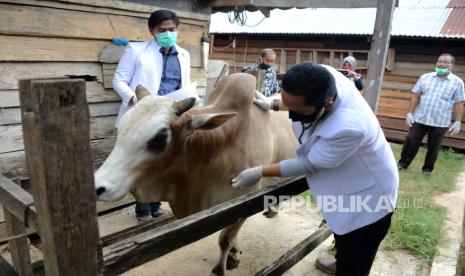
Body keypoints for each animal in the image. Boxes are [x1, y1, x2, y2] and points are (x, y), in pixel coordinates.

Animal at [95, 72, 298, 274]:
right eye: (122, 127)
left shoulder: (247, 197)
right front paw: (234, 255)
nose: (98, 187)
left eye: (160, 137)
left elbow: (225, 239)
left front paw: (220, 268)